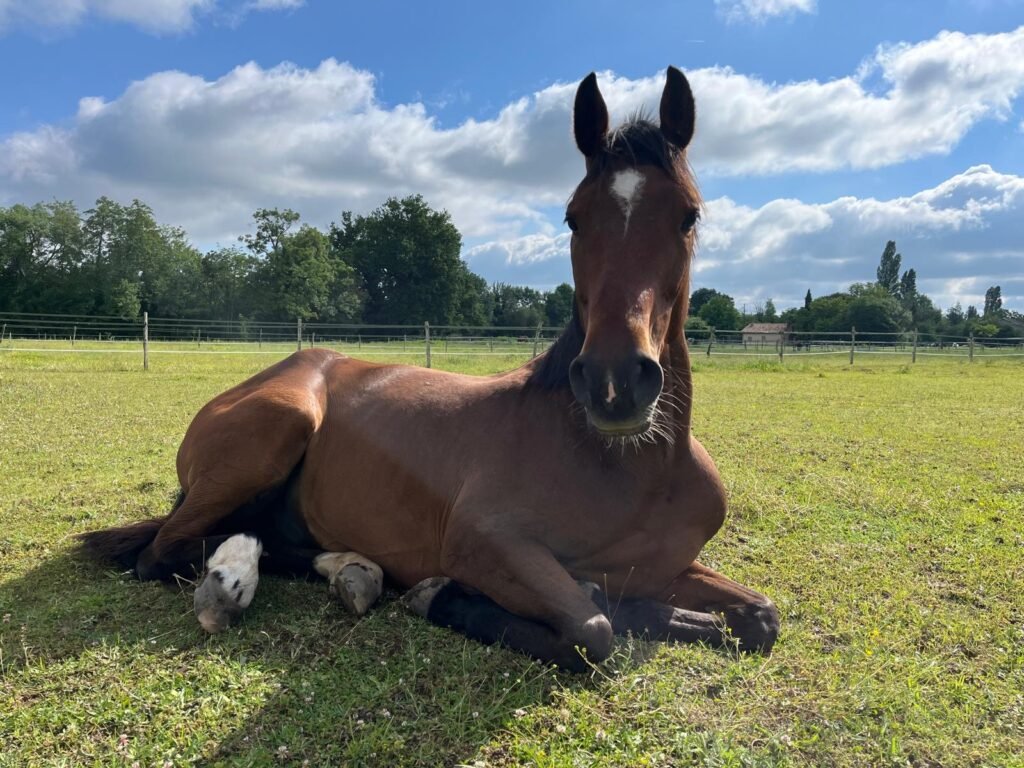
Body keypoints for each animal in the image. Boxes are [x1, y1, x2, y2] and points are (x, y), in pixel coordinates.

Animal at [80, 67, 780, 672]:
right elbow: (593, 630)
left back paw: (350, 571)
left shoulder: (669, 566)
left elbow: (761, 617)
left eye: (688, 214)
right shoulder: (483, 542)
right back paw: (234, 581)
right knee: (164, 551)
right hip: (279, 423)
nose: (615, 384)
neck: (633, 468)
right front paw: (444, 596)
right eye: (573, 217)